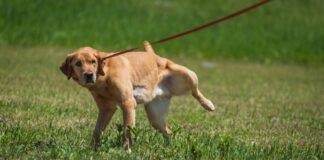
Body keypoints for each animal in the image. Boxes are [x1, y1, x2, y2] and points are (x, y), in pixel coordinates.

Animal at [59, 40, 214, 152]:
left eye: (93, 62)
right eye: (78, 63)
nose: (89, 75)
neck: (104, 75)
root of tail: (154, 55)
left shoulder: (127, 103)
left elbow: (127, 131)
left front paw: (126, 151)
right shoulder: (106, 109)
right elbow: (97, 131)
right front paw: (92, 149)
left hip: (188, 74)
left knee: (195, 91)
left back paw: (208, 104)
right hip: (155, 116)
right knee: (168, 131)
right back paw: (168, 147)